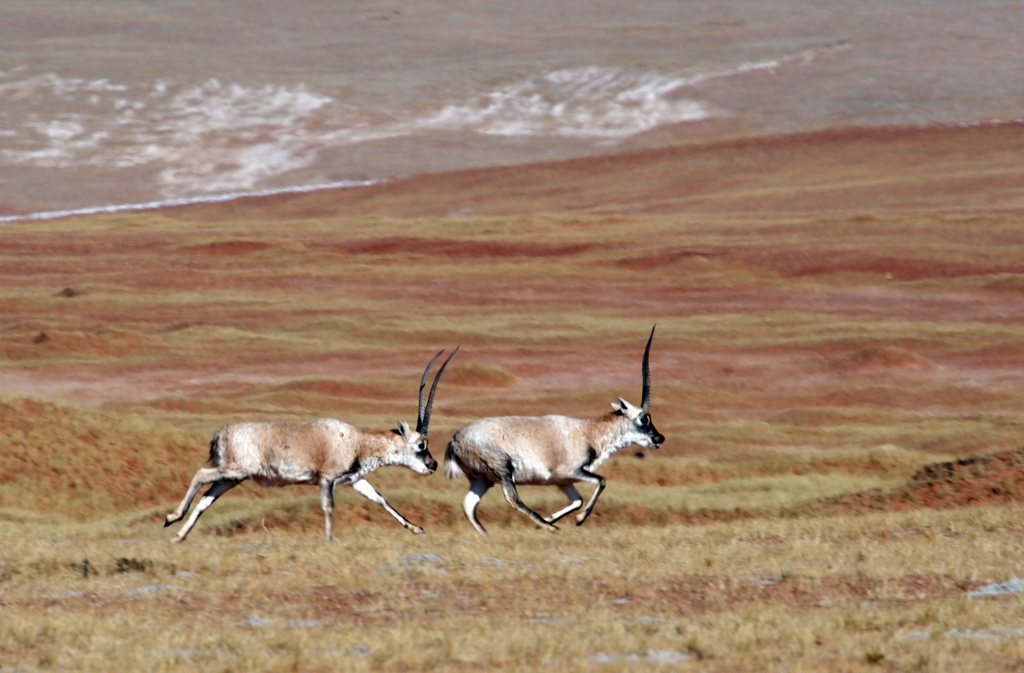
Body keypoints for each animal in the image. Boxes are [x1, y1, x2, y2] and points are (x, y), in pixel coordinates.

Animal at [162, 346, 456, 540]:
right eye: (421, 445)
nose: (433, 464)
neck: (357, 441)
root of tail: (220, 434)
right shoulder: (327, 479)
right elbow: (328, 507)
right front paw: (329, 540)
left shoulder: (354, 480)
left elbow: (380, 499)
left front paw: (416, 527)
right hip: (235, 470)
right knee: (200, 475)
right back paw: (171, 518)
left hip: (232, 478)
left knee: (206, 499)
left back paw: (179, 535)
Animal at [446, 327, 663, 532]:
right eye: (644, 418)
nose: (659, 438)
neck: (589, 432)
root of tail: (455, 440)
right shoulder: (573, 471)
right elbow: (601, 481)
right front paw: (578, 519)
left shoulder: (564, 481)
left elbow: (577, 500)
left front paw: (553, 518)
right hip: (503, 470)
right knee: (512, 499)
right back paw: (549, 527)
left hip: (482, 480)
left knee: (469, 506)